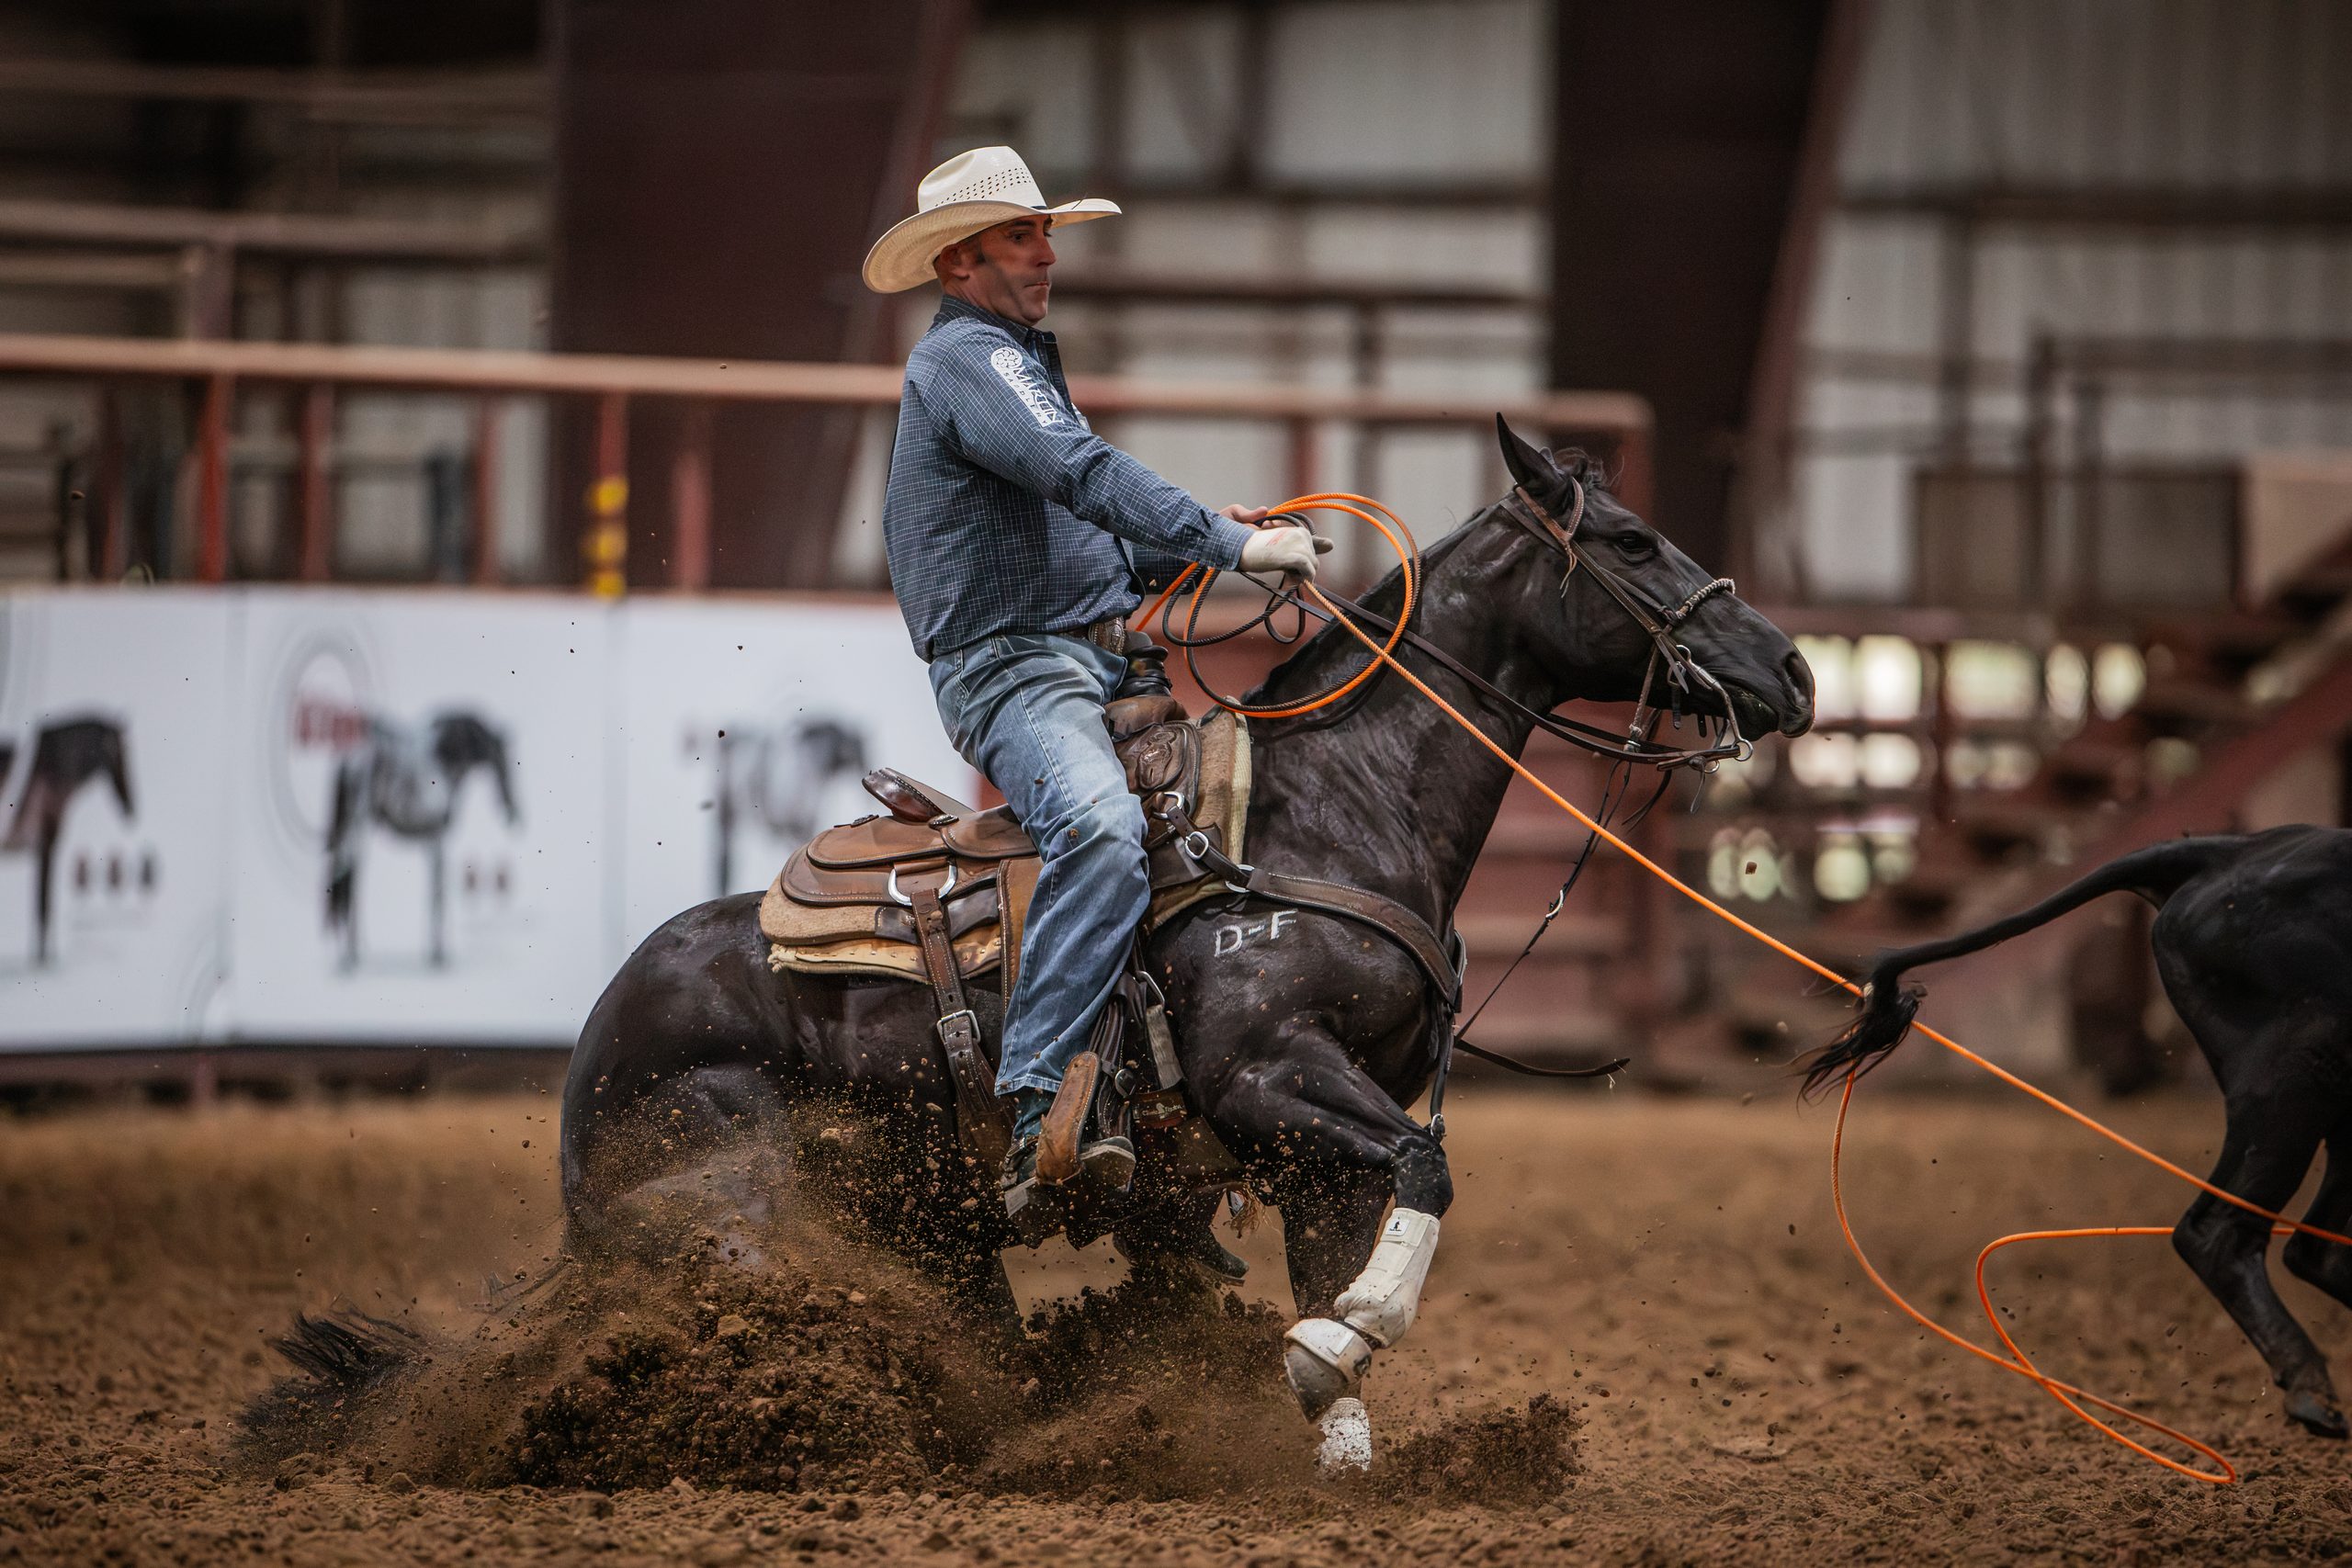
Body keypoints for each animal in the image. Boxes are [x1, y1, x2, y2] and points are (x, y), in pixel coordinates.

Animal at [325, 710, 518, 968]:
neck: (443, 758)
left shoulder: (429, 839)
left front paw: (434, 950)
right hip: (358, 824)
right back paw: (350, 953)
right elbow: (438, 889)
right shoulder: (437, 835)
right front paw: (438, 953)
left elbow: (434, 888)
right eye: (505, 760)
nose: (514, 812)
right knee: (350, 872)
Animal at [559, 418, 1816, 1448]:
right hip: (749, 1188)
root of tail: (604, 1023)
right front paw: (1340, 1341)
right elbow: (1427, 1171)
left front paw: (1338, 1427)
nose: (1796, 671)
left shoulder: (1320, 1146)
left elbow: (1343, 1257)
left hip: (935, 1235)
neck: (1329, 811)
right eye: (1635, 542)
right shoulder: (1267, 1075)